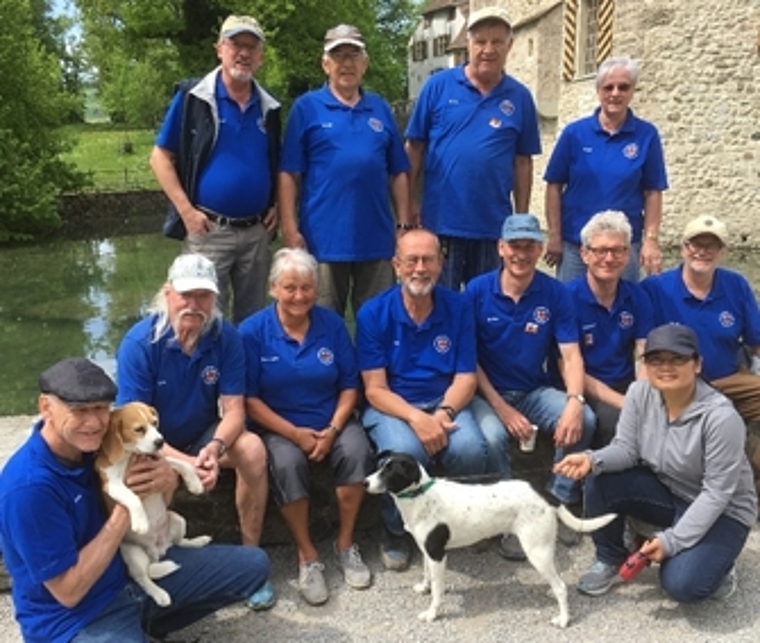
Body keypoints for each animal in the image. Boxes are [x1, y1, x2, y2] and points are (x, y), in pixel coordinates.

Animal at [97, 400, 214, 608]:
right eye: (139, 429)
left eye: (155, 423)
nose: (160, 442)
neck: (131, 454)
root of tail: (157, 552)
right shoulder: (112, 484)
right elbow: (132, 497)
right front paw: (141, 521)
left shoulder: (159, 462)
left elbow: (180, 463)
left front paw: (195, 484)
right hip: (133, 554)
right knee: (144, 578)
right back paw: (160, 594)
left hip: (178, 520)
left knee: (180, 542)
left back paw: (199, 541)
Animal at [366, 452, 620, 628]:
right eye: (380, 467)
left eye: (390, 472)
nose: (365, 482)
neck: (421, 495)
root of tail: (545, 494)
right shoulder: (428, 551)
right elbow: (428, 575)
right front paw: (424, 587)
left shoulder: (438, 555)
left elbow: (438, 591)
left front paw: (432, 613)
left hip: (537, 552)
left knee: (560, 588)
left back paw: (564, 620)